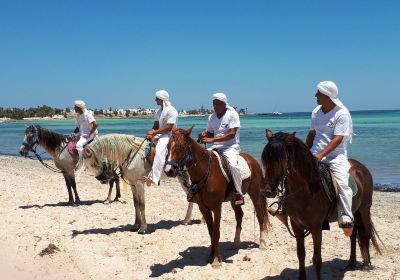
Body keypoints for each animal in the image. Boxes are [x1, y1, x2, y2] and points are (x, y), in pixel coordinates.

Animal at [164, 127, 270, 266]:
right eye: (167, 146)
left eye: (181, 147)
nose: (168, 171)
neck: (205, 172)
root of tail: (253, 160)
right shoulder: (204, 208)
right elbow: (211, 232)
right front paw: (211, 255)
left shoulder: (216, 207)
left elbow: (216, 231)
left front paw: (216, 260)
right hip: (234, 198)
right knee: (239, 215)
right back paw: (236, 243)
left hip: (255, 193)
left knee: (259, 215)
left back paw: (262, 244)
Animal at [260, 131, 382, 280]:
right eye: (265, 160)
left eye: (281, 160)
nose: (267, 191)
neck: (306, 190)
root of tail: (361, 168)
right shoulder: (297, 225)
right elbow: (301, 254)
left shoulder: (316, 227)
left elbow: (317, 259)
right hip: (354, 211)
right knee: (353, 235)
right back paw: (352, 263)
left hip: (364, 209)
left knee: (365, 233)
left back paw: (366, 264)